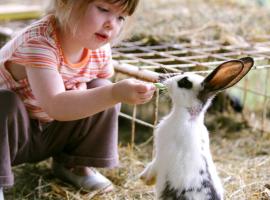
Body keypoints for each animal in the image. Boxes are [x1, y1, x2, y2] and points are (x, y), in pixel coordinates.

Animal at [140, 57, 254, 199]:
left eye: (184, 82)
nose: (162, 78)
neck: (190, 118)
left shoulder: (161, 156)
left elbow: (153, 166)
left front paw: (145, 178)